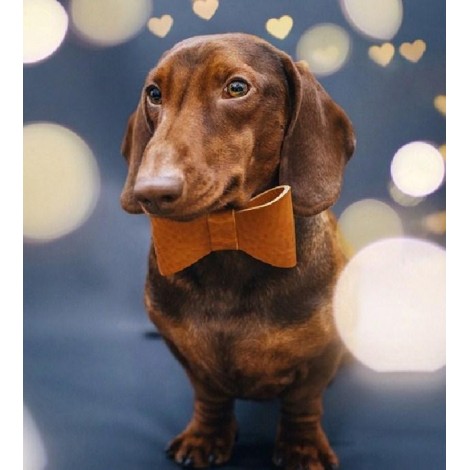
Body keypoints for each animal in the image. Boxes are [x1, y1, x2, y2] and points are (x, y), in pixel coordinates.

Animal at [119, 34, 354, 470]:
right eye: (154, 93)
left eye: (237, 87)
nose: (150, 191)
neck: (228, 236)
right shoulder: (188, 356)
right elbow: (210, 396)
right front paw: (206, 436)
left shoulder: (320, 354)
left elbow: (303, 402)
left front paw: (301, 448)